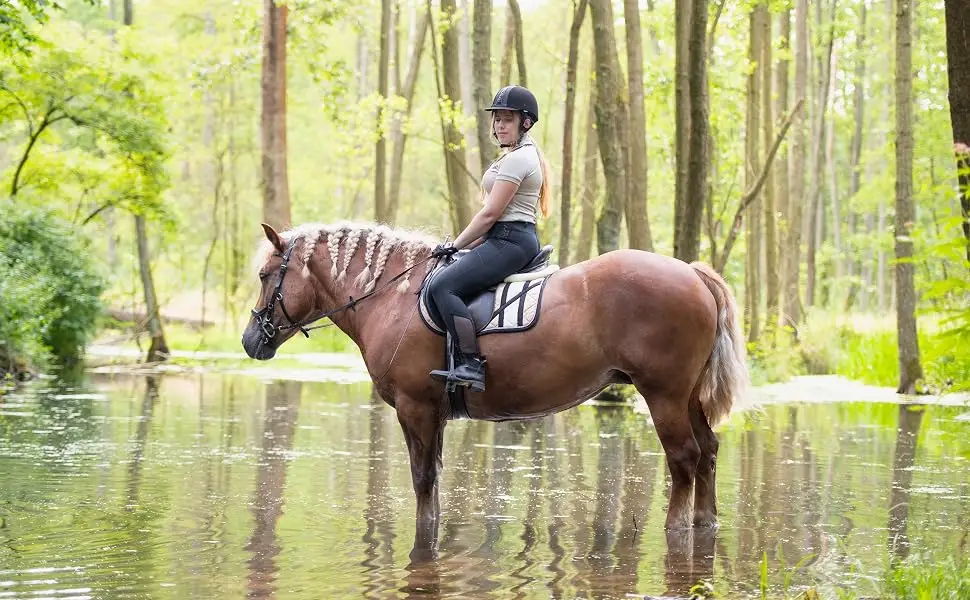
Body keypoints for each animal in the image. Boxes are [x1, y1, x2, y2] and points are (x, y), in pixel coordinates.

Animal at [242, 221, 748, 559]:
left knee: (684, 457)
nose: (250, 340)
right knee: (708, 450)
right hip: (688, 396)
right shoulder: (434, 414)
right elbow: (434, 482)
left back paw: (676, 528)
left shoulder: (414, 408)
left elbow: (422, 480)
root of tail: (691, 273)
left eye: (266, 275)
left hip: (663, 394)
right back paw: (705, 522)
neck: (392, 298)